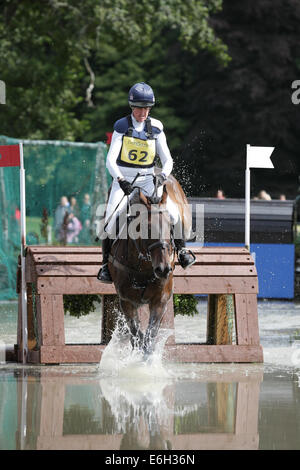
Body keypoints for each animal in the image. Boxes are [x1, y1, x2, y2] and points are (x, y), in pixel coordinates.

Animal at [106, 175, 191, 356]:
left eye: (171, 226)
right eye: (146, 227)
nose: (163, 269)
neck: (144, 266)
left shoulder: (160, 301)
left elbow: (149, 339)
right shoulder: (127, 302)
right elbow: (136, 336)